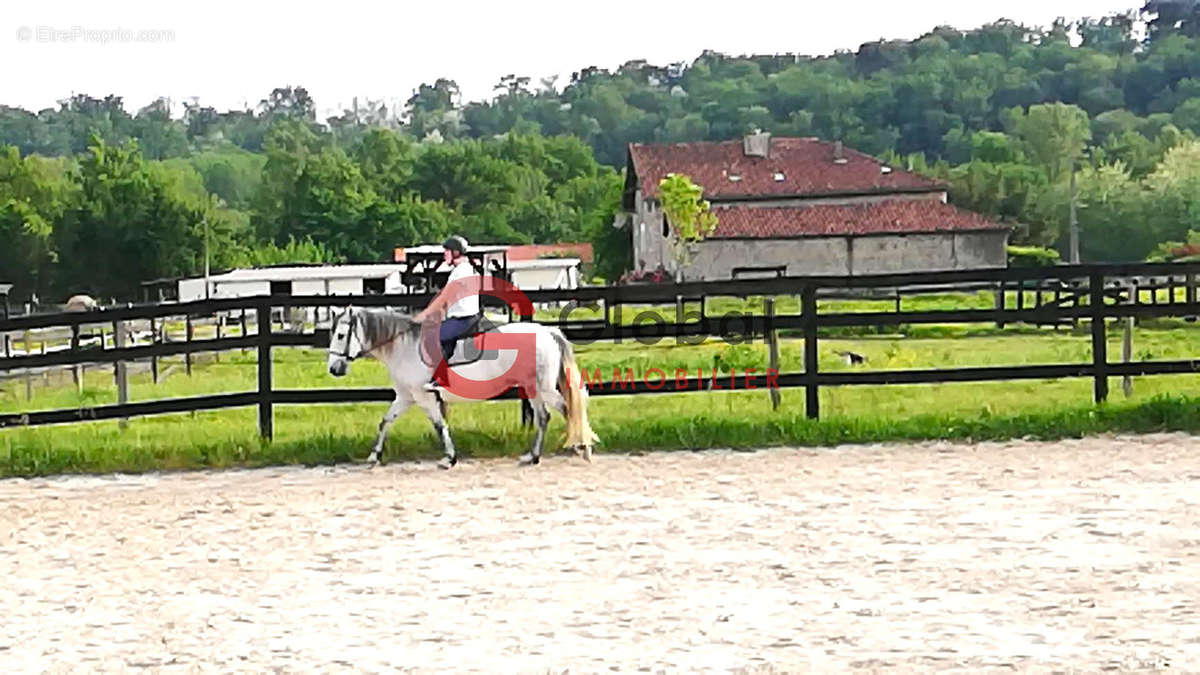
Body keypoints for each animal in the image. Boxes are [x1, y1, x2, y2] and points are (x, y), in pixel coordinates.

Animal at [326, 306, 597, 468]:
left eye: (340, 335)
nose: (333, 369)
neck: (404, 346)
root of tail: (549, 332)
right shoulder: (406, 396)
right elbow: (385, 422)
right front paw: (374, 455)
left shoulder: (424, 397)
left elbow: (439, 425)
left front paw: (450, 458)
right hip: (533, 389)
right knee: (543, 417)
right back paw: (533, 456)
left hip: (544, 388)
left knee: (567, 409)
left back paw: (582, 448)